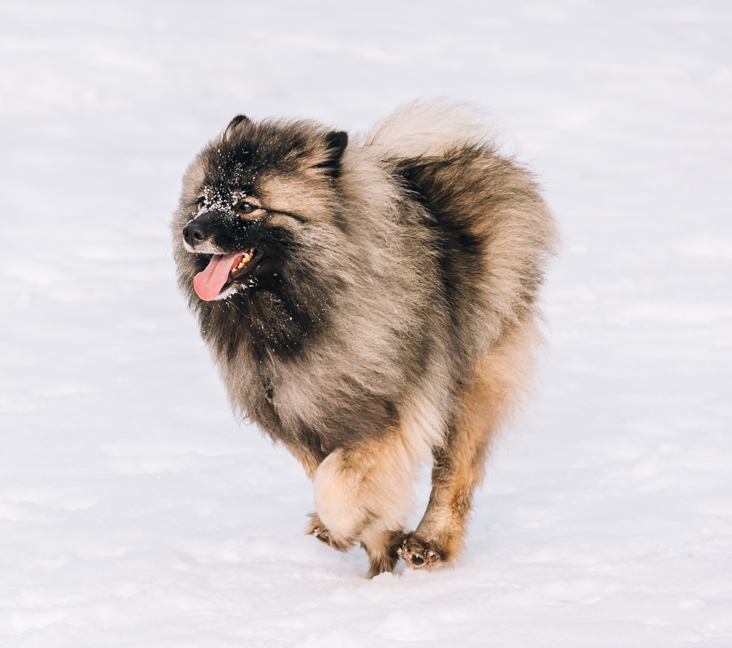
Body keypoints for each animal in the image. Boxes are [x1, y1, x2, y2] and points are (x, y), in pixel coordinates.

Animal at [172, 102, 556, 576]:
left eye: (246, 206)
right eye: (203, 200)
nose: (192, 231)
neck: (298, 311)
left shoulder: (388, 415)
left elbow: (338, 481)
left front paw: (345, 526)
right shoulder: (297, 416)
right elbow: (335, 478)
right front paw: (374, 541)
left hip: (472, 379)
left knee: (454, 472)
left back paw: (430, 542)